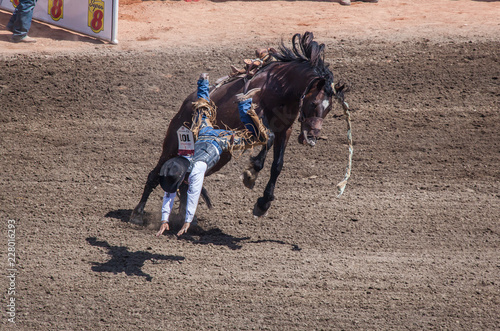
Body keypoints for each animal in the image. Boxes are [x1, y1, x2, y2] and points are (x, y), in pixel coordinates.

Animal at [131, 31, 354, 226]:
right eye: (313, 103)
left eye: (329, 108)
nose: (312, 137)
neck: (278, 87)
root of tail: (187, 104)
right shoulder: (252, 121)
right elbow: (268, 138)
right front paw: (251, 173)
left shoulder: (285, 131)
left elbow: (277, 164)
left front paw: (263, 204)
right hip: (173, 143)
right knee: (156, 173)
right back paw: (138, 213)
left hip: (219, 156)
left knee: (189, 178)